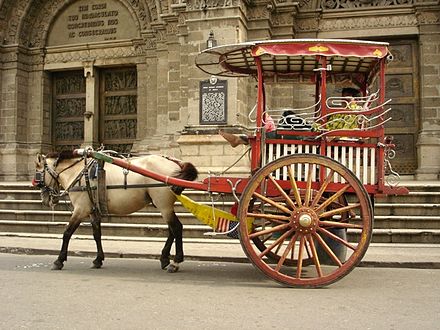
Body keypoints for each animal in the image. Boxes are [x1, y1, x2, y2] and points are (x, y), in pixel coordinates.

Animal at [33, 151, 199, 272]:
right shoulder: (93, 211)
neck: (79, 172)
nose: (45, 200)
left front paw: (59, 260)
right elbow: (97, 234)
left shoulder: (80, 209)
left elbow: (67, 233)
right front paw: (98, 259)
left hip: (163, 205)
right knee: (172, 230)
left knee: (176, 228)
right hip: (164, 206)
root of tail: (176, 163)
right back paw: (164, 258)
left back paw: (175, 262)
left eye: (38, 174)